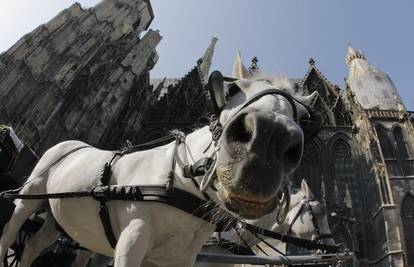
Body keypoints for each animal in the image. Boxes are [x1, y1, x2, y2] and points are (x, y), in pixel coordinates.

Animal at [0, 52, 316, 267]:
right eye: (232, 89)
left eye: (305, 118)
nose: (267, 142)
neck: (179, 181)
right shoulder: (131, 241)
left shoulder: (178, 259)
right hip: (28, 199)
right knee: (7, 235)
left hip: (58, 220)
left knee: (32, 248)